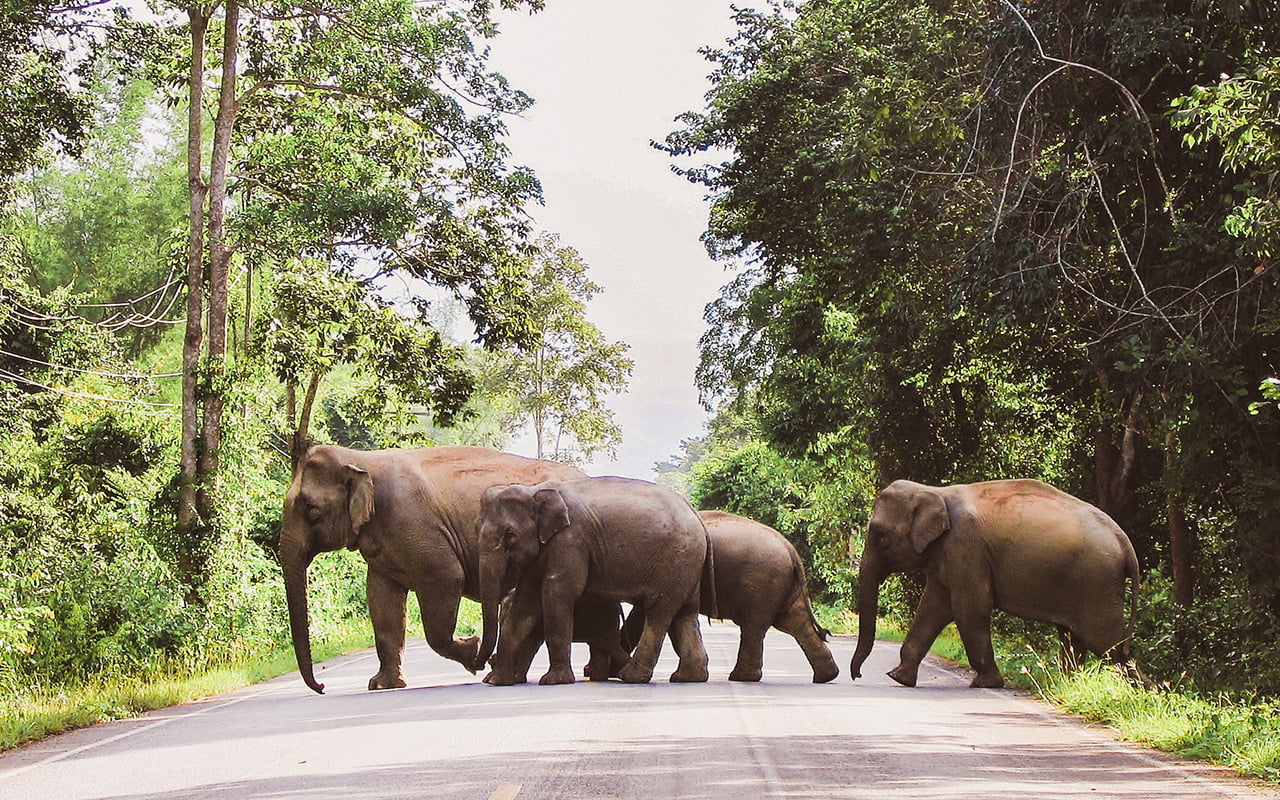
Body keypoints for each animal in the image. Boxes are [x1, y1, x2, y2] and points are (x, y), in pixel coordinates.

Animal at [281, 442, 586, 691]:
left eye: (311, 510)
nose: (322, 686)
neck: (360, 459)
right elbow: (381, 600)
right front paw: (382, 685)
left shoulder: (417, 529)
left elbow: (447, 578)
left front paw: (472, 652)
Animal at [478, 476, 716, 680]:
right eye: (475, 528)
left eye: (510, 534)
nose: (479, 665)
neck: (535, 490)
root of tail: (695, 513)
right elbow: (525, 604)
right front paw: (497, 681)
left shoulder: (571, 540)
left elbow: (557, 594)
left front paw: (555, 681)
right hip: (687, 566)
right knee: (685, 614)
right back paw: (687, 677)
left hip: (676, 561)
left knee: (658, 611)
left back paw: (631, 677)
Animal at [849, 476, 1141, 691]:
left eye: (881, 536)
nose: (857, 676)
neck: (934, 492)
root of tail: (1125, 542)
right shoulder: (948, 555)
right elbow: (933, 607)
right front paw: (898, 678)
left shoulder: (966, 546)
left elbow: (970, 607)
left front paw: (986, 683)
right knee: (1074, 639)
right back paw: (1067, 686)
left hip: (1097, 584)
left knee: (1108, 643)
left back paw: (1141, 694)